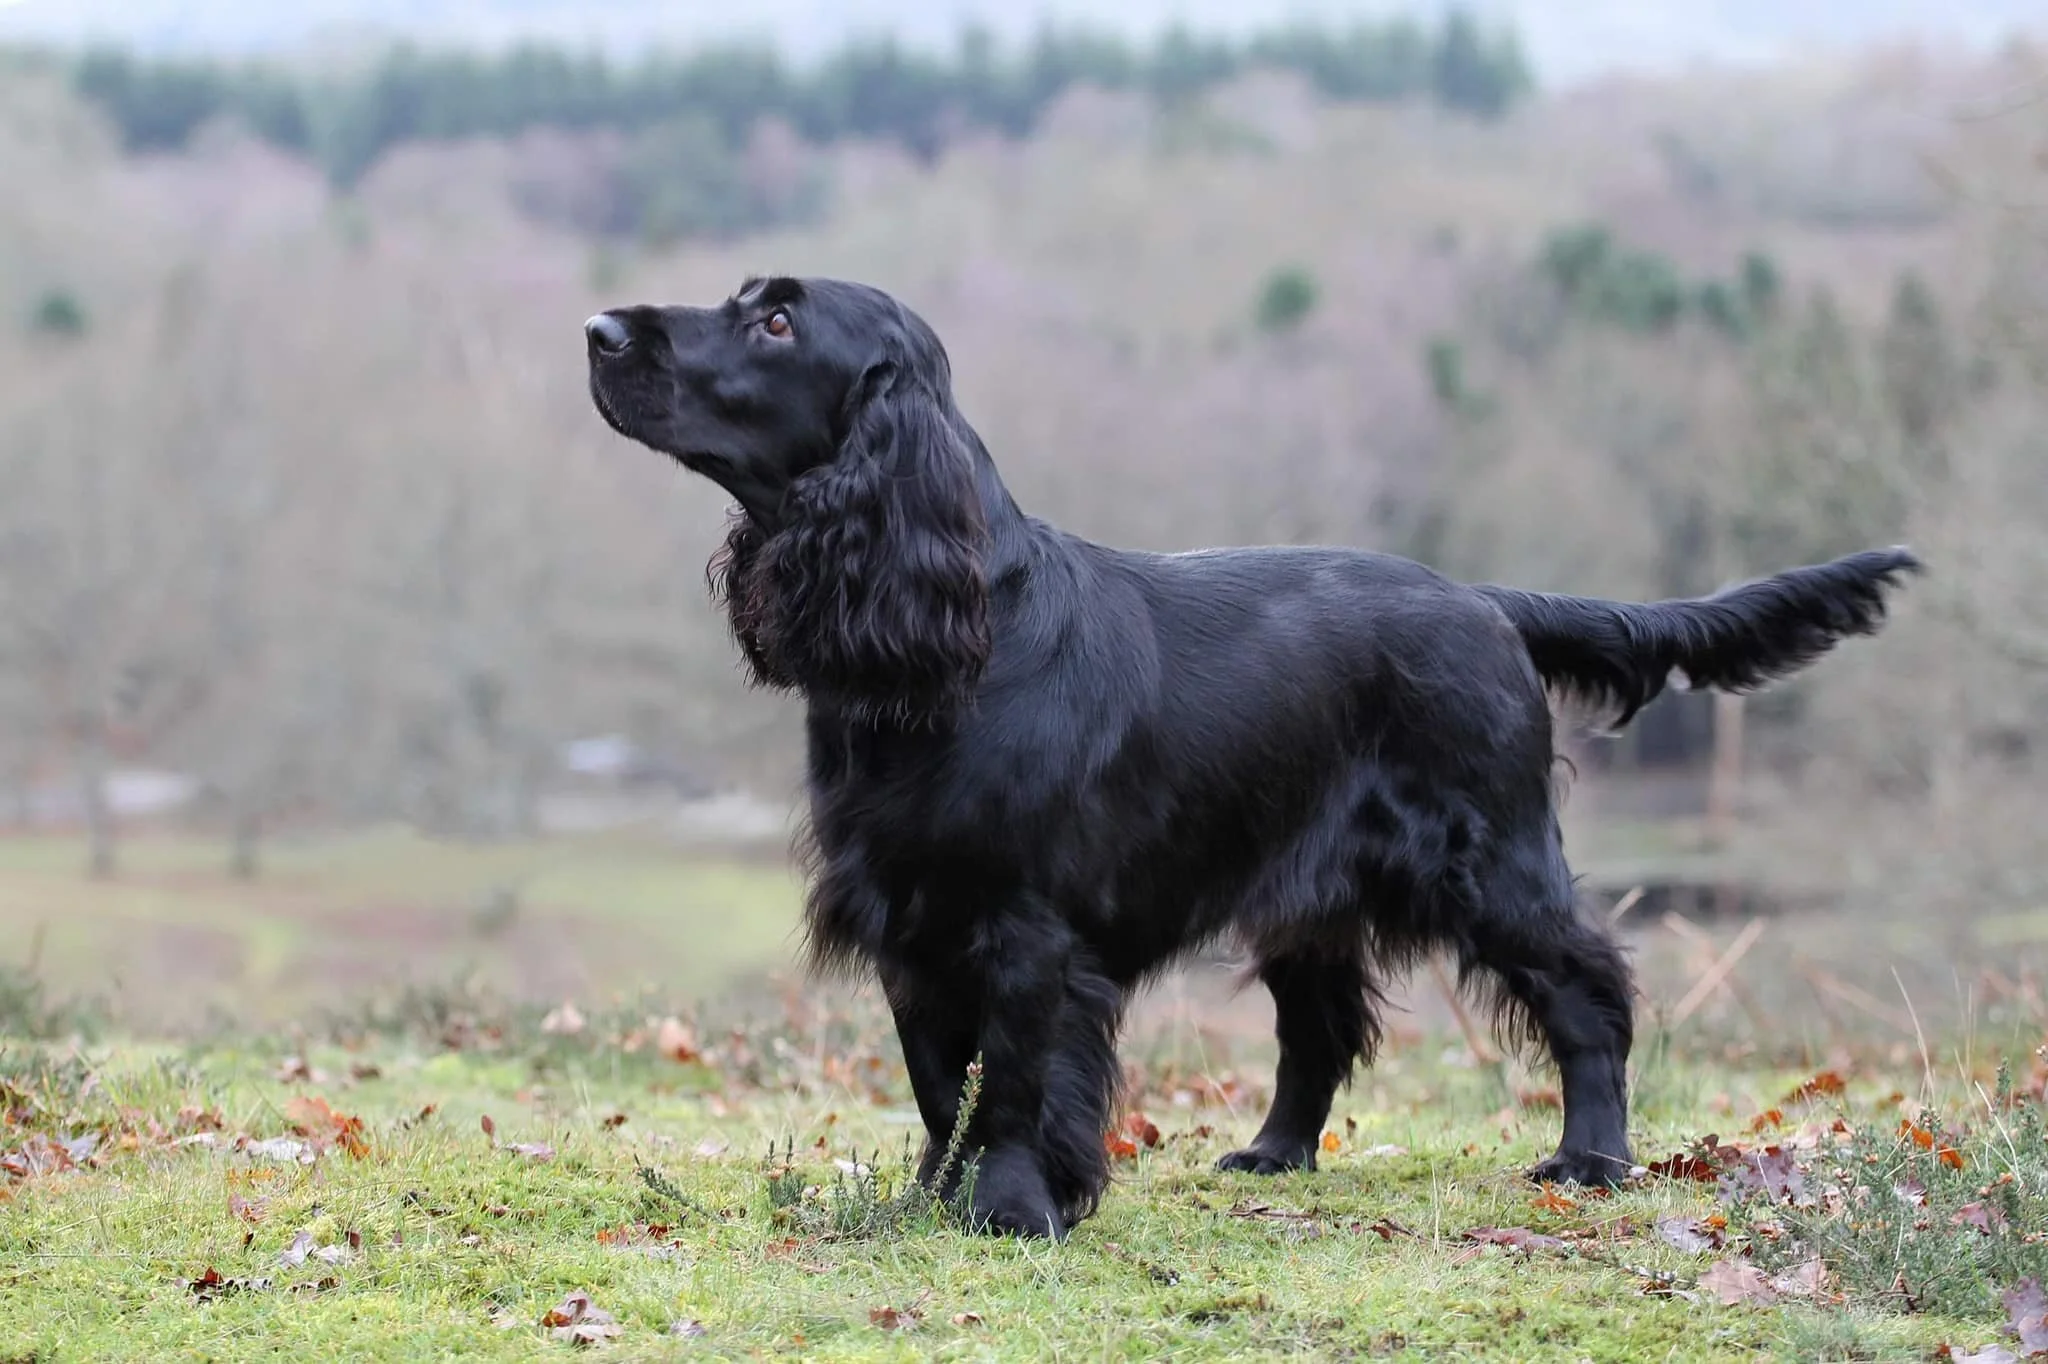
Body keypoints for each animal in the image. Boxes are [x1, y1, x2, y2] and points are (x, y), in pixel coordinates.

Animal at [585, 275, 1918, 1239]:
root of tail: (1484, 600)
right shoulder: (910, 920)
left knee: (1586, 993)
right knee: (1319, 1026)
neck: (951, 644)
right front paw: (932, 1195)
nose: (598, 328)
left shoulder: (1024, 925)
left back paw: (1589, 1157)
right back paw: (1276, 1152)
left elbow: (1009, 1077)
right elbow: (935, 1078)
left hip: (1488, 856)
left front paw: (1014, 1207)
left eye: (775, 320)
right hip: (1307, 891)